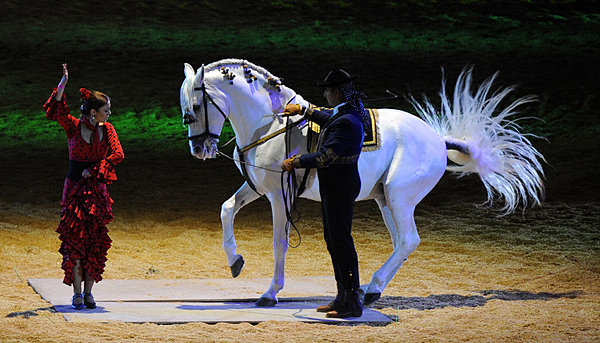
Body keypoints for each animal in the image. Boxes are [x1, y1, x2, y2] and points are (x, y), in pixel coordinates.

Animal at [178, 59, 544, 310]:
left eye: (195, 107)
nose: (199, 150)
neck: (270, 126)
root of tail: (438, 139)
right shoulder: (257, 187)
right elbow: (226, 209)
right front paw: (235, 262)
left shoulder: (280, 197)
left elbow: (279, 243)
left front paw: (270, 294)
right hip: (386, 201)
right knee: (400, 243)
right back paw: (370, 290)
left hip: (399, 197)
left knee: (408, 240)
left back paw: (369, 290)